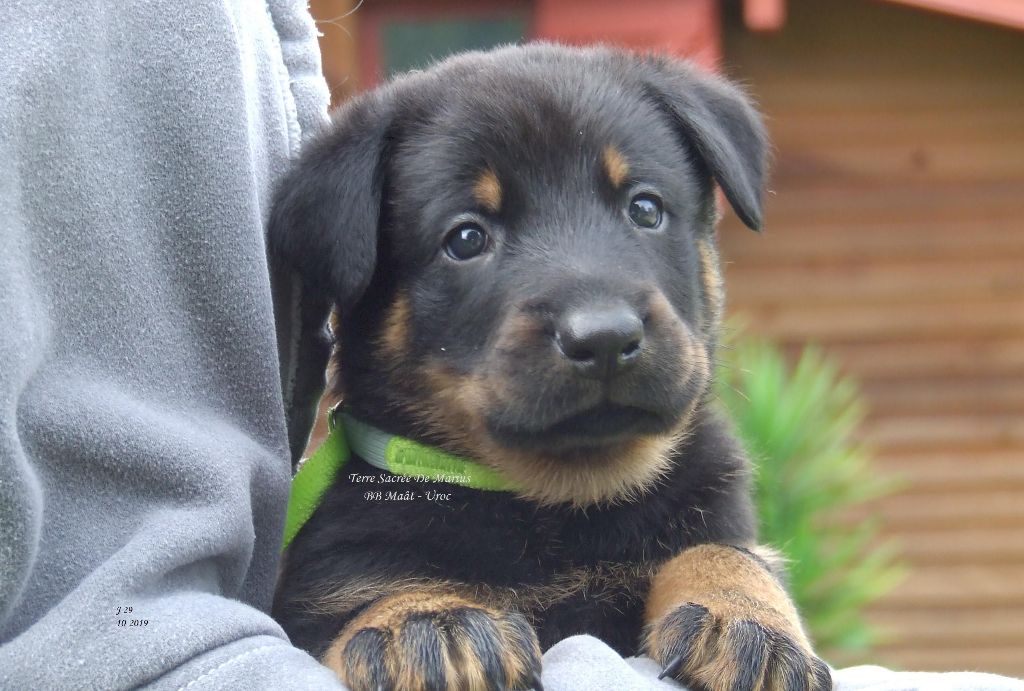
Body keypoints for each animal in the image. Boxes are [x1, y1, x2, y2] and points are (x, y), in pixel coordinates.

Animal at [266, 43, 831, 691]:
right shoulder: (331, 580)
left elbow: (727, 552)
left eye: (645, 208)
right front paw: (425, 620)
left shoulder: (717, 513)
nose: (606, 337)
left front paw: (745, 619)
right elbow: (371, 587)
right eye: (466, 239)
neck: (564, 502)